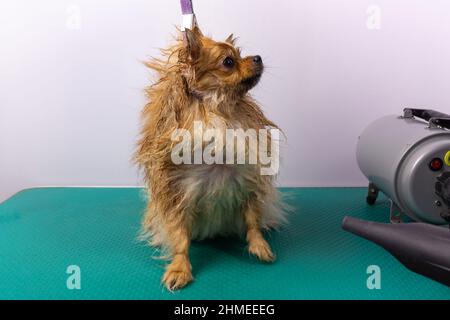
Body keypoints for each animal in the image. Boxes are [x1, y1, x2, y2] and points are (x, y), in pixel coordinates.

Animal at [135, 26, 286, 290]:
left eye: (241, 53)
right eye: (228, 62)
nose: (257, 57)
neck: (218, 113)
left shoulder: (247, 184)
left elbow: (252, 220)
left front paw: (259, 245)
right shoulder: (177, 192)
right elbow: (180, 237)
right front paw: (180, 268)